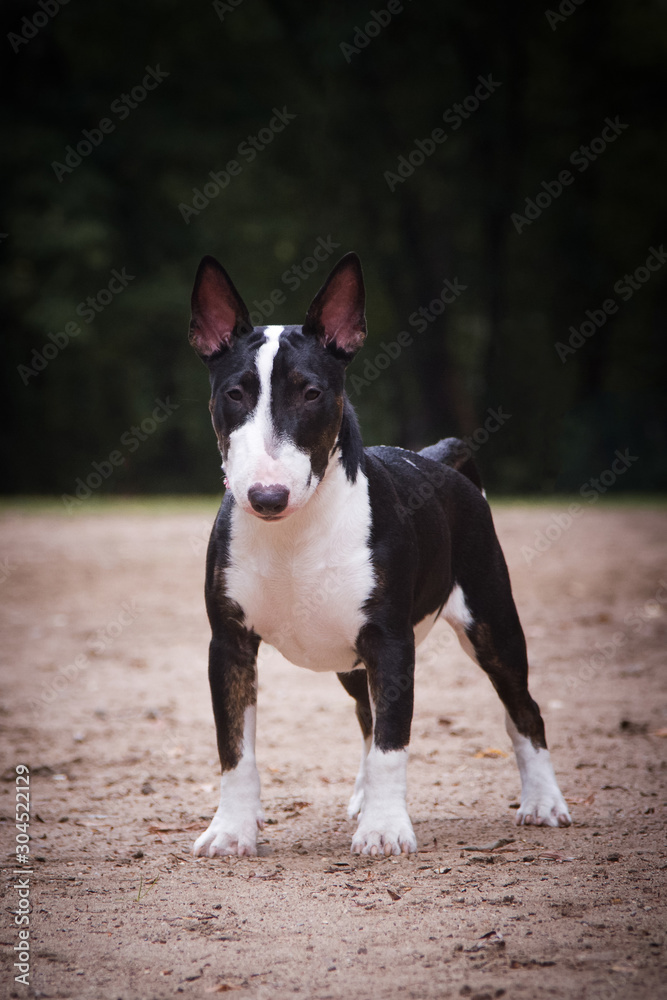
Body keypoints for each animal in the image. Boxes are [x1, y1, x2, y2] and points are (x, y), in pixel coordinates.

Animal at [187, 254, 568, 856]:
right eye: (235, 393)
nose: (267, 496)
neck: (295, 535)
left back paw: (543, 803)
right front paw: (230, 831)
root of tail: (437, 457)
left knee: (522, 709)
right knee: (366, 714)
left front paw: (386, 830)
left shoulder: (391, 641)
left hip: (490, 619)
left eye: (311, 393)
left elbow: (394, 742)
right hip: (350, 656)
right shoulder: (229, 643)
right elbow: (235, 749)